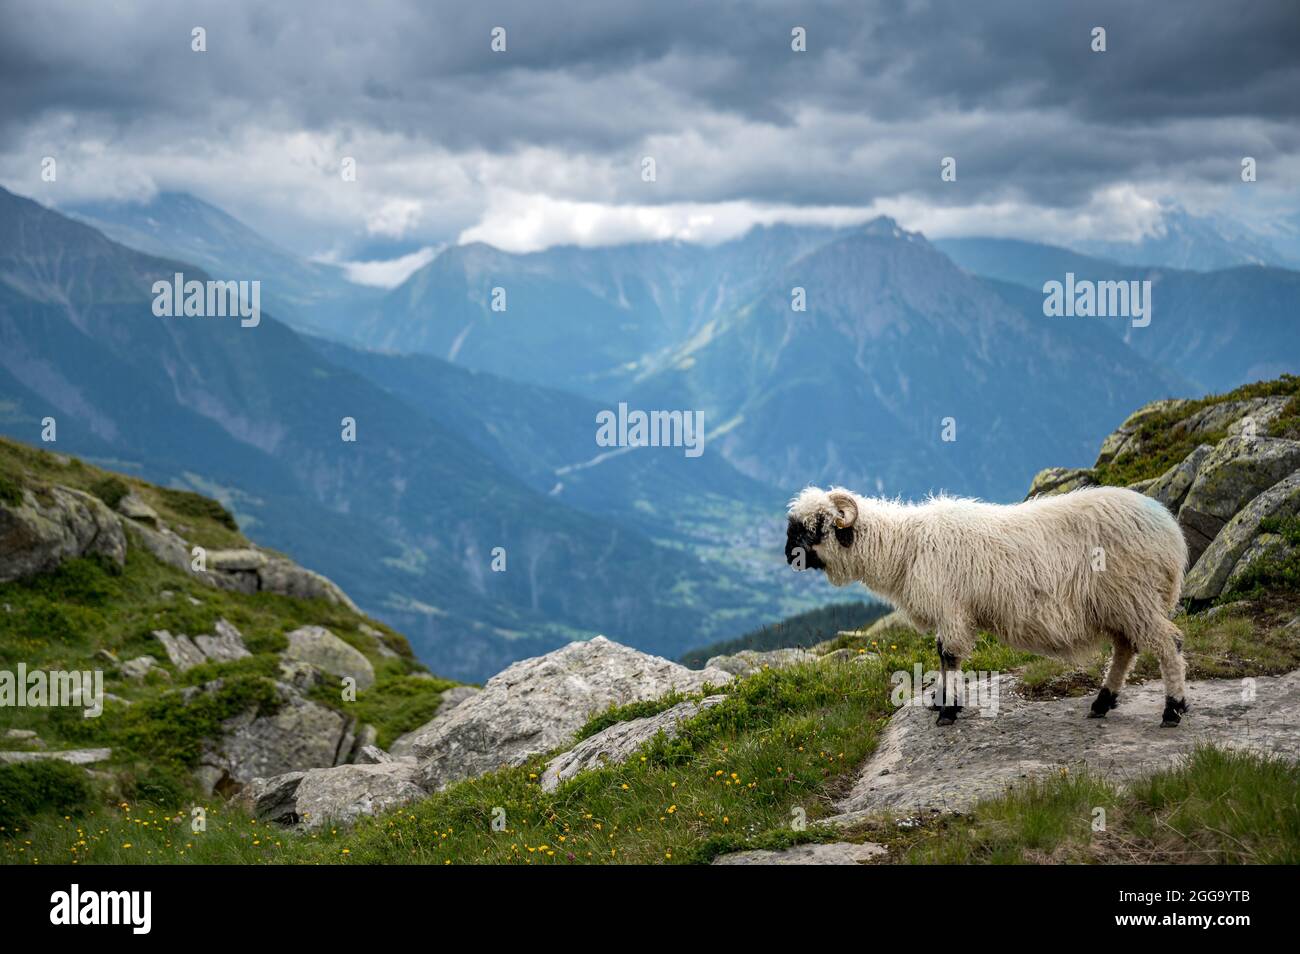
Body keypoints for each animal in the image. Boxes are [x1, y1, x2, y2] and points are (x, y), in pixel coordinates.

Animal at [785, 488, 1190, 727]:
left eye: (815, 527)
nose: (788, 556)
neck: (905, 547)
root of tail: (1170, 531)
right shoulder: (949, 613)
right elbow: (942, 656)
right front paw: (940, 701)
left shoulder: (952, 609)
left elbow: (948, 656)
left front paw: (947, 711)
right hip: (1122, 605)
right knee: (1126, 649)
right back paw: (1103, 703)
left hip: (1134, 597)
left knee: (1168, 644)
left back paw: (1173, 708)